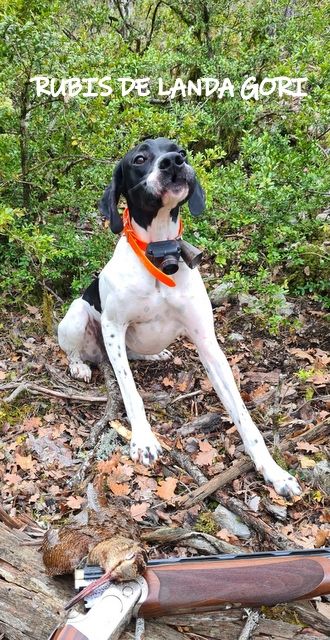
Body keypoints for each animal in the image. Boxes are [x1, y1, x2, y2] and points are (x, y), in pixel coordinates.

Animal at [57, 135, 302, 498]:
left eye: (180, 151)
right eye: (140, 159)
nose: (173, 162)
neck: (160, 255)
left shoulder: (207, 342)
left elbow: (243, 415)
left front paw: (273, 470)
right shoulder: (113, 328)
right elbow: (131, 393)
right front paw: (144, 440)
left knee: (133, 355)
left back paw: (155, 354)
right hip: (76, 316)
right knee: (78, 351)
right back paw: (79, 366)